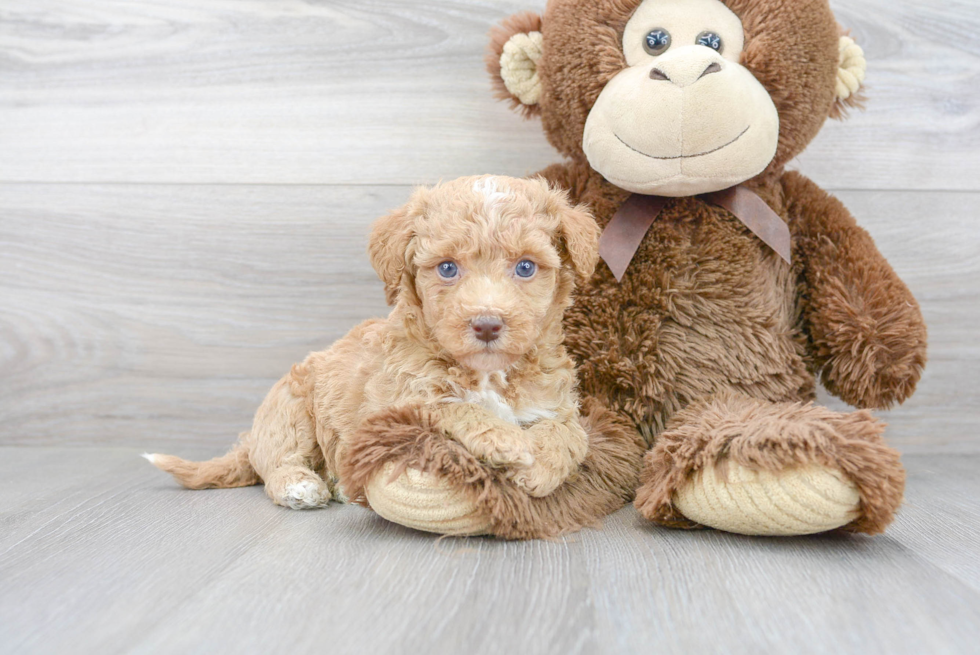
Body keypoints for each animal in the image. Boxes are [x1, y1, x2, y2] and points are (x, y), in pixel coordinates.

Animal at [147, 177, 596, 510]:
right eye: (447, 268)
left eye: (526, 267)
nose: (487, 324)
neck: (487, 374)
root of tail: (251, 438)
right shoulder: (392, 406)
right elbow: (448, 407)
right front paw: (507, 440)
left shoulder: (554, 403)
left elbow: (572, 435)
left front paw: (540, 467)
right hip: (290, 409)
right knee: (279, 461)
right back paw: (301, 486)